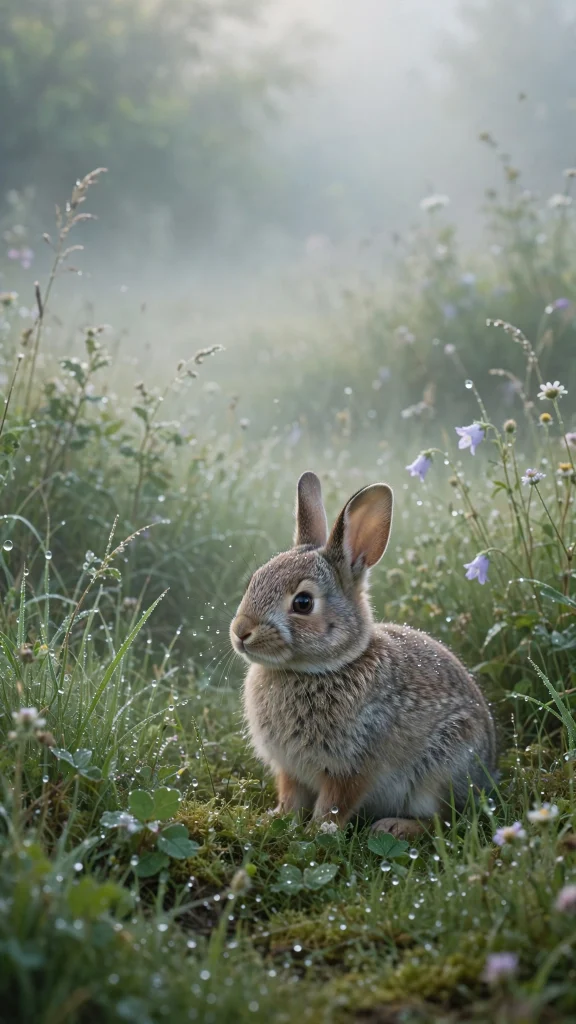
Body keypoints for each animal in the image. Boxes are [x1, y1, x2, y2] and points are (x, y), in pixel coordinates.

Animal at [230, 471, 497, 838]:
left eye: (303, 603)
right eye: (254, 581)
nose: (240, 631)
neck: (319, 669)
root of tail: (487, 776)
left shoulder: (352, 767)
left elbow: (334, 805)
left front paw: (316, 834)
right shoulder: (290, 769)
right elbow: (290, 798)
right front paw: (275, 819)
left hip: (442, 769)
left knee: (444, 821)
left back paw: (393, 827)